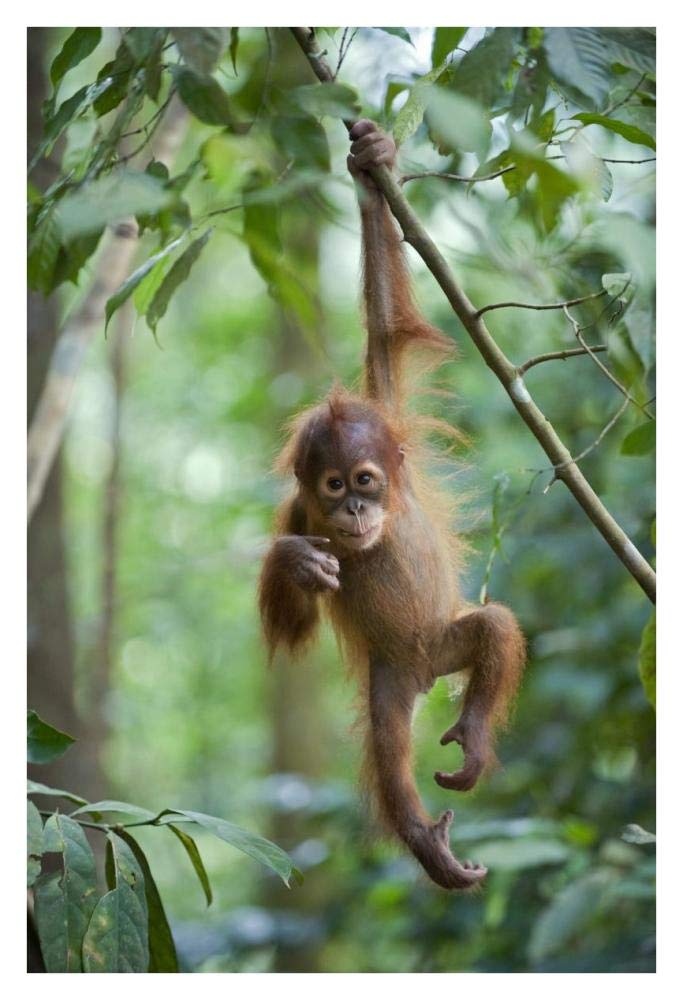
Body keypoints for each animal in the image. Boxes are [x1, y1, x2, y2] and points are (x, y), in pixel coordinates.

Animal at [259, 120, 526, 890]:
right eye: (333, 487)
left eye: (367, 480)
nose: (352, 514)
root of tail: (423, 669)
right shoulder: (297, 514)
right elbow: (291, 627)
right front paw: (296, 563)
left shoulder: (389, 408)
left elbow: (384, 327)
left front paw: (372, 160)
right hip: (389, 677)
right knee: (386, 746)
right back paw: (426, 840)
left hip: (442, 639)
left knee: (494, 627)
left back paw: (470, 741)